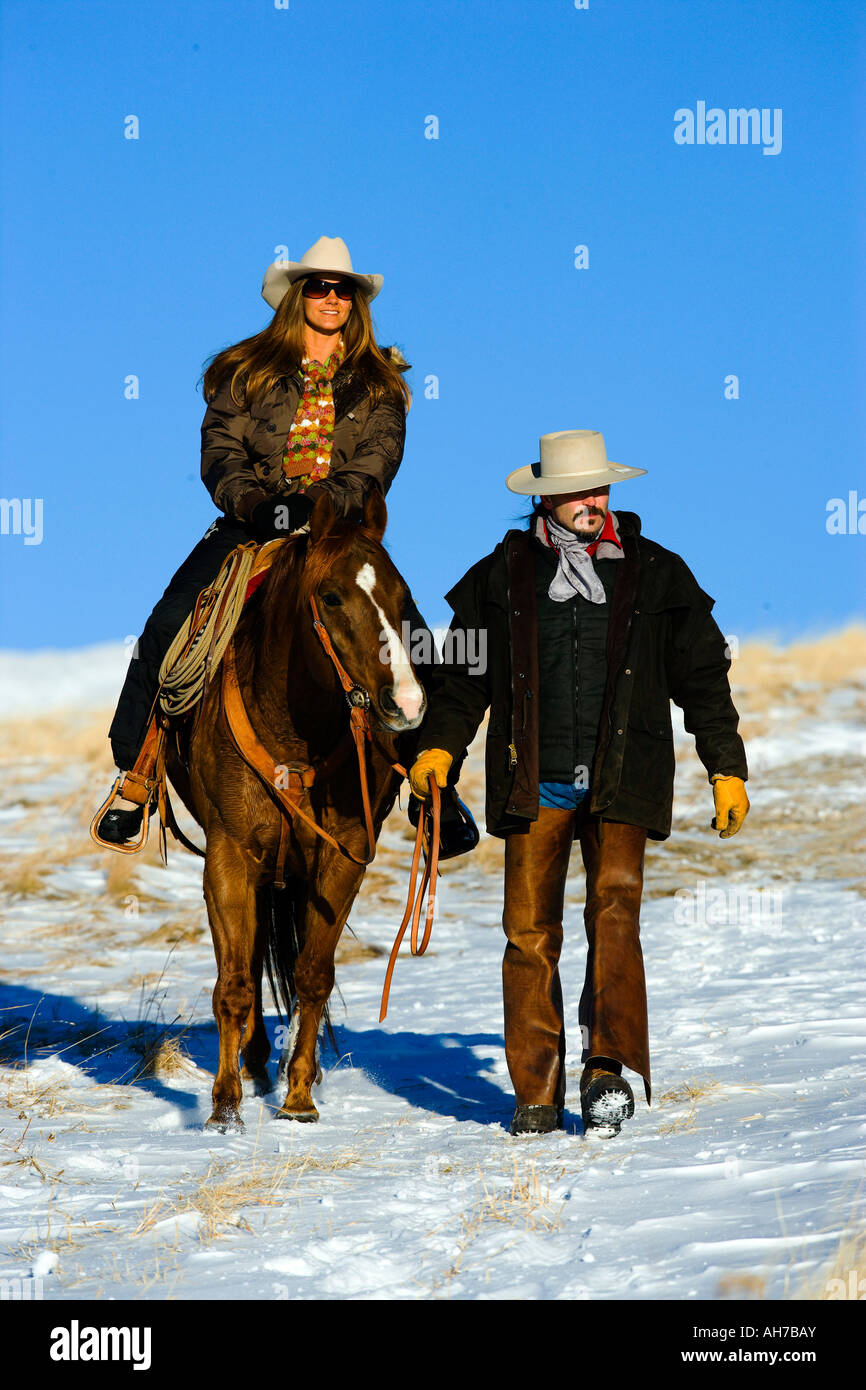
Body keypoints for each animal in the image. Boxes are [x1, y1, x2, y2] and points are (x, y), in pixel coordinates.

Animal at [164, 489, 425, 1128]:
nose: (407, 704)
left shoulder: (344, 857)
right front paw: (224, 1108)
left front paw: (300, 1096)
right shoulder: (229, 858)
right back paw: (253, 1064)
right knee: (253, 961)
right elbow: (234, 982)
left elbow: (312, 974)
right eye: (331, 596)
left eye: (403, 597)